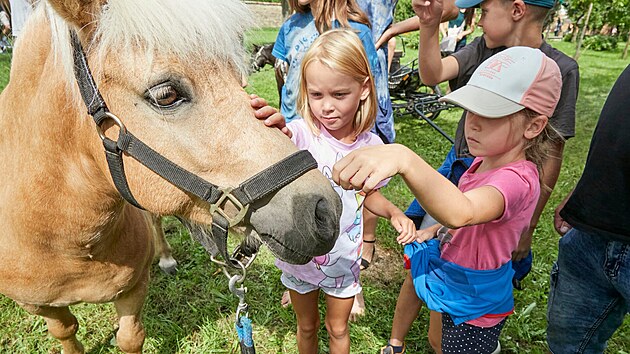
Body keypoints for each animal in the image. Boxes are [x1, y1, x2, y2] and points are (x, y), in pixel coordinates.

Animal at [0, 0, 346, 354]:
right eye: (165, 94)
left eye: (239, 78)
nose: (324, 211)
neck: (66, 240)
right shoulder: (41, 306)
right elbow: (66, 332)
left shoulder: (133, 289)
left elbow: (129, 338)